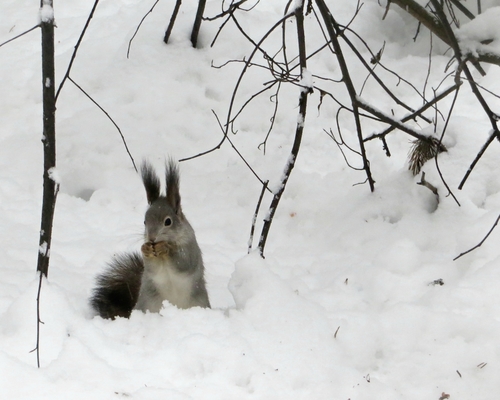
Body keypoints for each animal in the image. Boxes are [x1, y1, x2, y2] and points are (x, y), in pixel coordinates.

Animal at [91, 159, 210, 318]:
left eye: (168, 221)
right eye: (144, 221)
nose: (152, 238)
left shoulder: (190, 247)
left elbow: (183, 262)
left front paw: (166, 248)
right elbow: (151, 268)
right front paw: (145, 249)